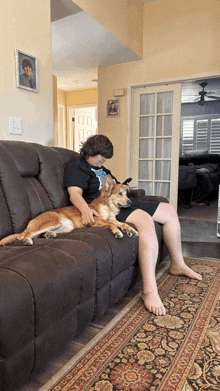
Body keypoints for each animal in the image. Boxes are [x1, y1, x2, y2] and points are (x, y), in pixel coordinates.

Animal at [0, 176, 138, 247]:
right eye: (120, 194)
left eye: (127, 194)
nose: (130, 202)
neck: (108, 206)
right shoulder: (96, 219)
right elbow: (110, 224)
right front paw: (117, 232)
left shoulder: (112, 219)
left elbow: (122, 223)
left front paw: (130, 230)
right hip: (53, 221)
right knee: (26, 234)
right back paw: (28, 240)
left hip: (66, 227)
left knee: (37, 234)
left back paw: (49, 234)